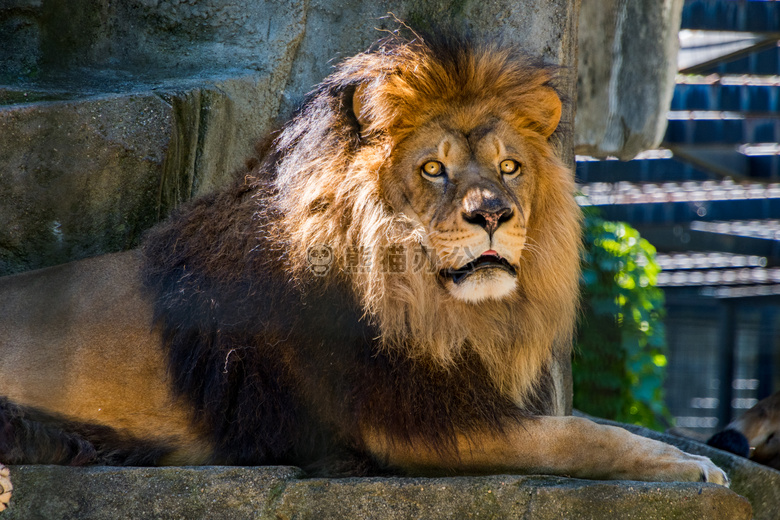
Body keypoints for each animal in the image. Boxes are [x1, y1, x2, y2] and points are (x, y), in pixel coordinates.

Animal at [0, 32, 724, 508]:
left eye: (510, 167)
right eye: (432, 168)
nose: (494, 214)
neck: (434, 309)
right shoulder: (405, 427)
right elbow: (574, 434)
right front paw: (692, 465)